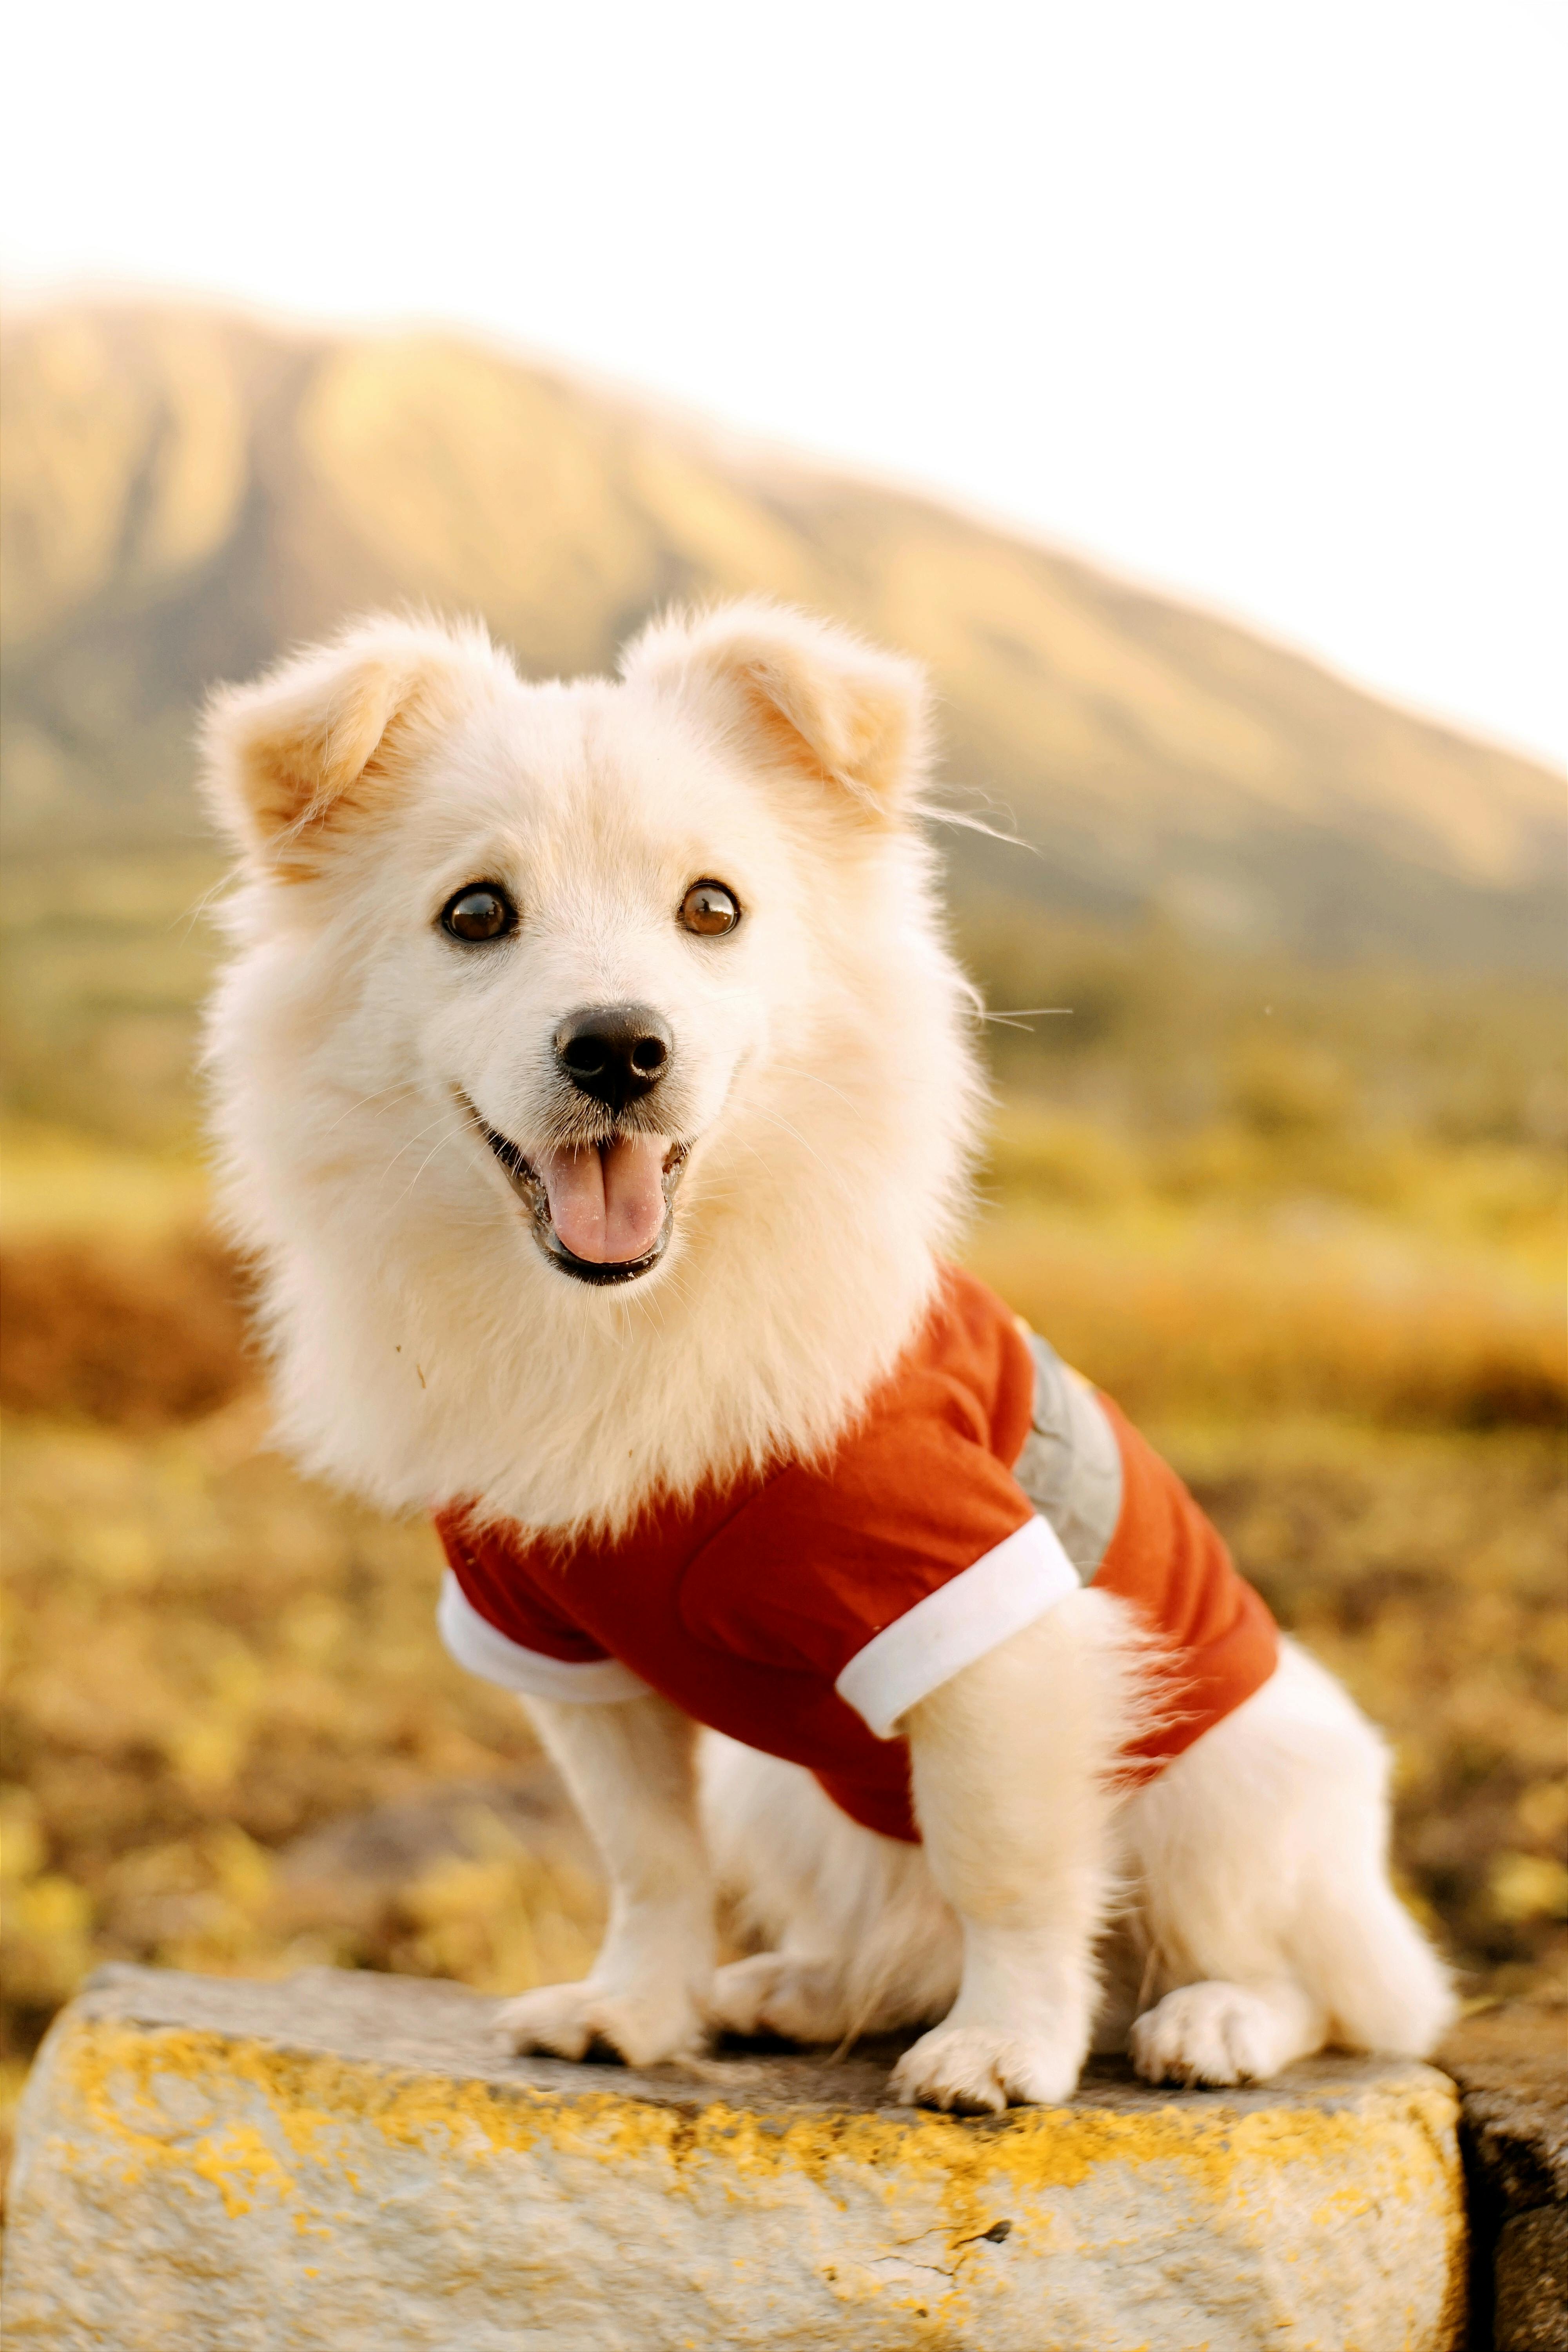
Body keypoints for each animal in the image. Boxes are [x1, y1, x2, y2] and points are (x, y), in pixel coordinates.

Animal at [202, 597, 1457, 2107]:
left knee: (1311, 1983)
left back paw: (1209, 2022)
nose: (619, 1048)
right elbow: (648, 1860)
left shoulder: (973, 1608)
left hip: (1231, 1788)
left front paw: (1004, 2045)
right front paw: (636, 2010)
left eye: (713, 907)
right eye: (476, 914)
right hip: (784, 1789)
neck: (624, 1322)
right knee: (891, 1939)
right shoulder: (559, 1642)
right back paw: (796, 1988)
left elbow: (1009, 1870)